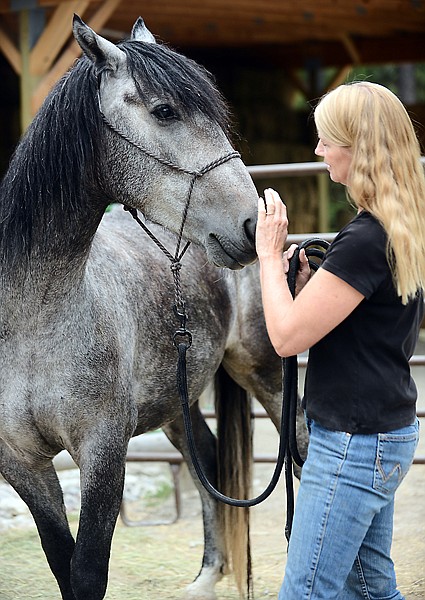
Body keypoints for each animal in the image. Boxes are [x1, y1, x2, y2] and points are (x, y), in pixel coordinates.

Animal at [0, 15, 264, 600]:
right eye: (165, 110)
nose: (253, 224)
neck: (31, 322)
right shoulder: (21, 461)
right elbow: (62, 564)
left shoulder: (102, 450)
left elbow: (87, 571)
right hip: (179, 402)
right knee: (206, 459)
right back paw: (205, 578)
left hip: (267, 373)